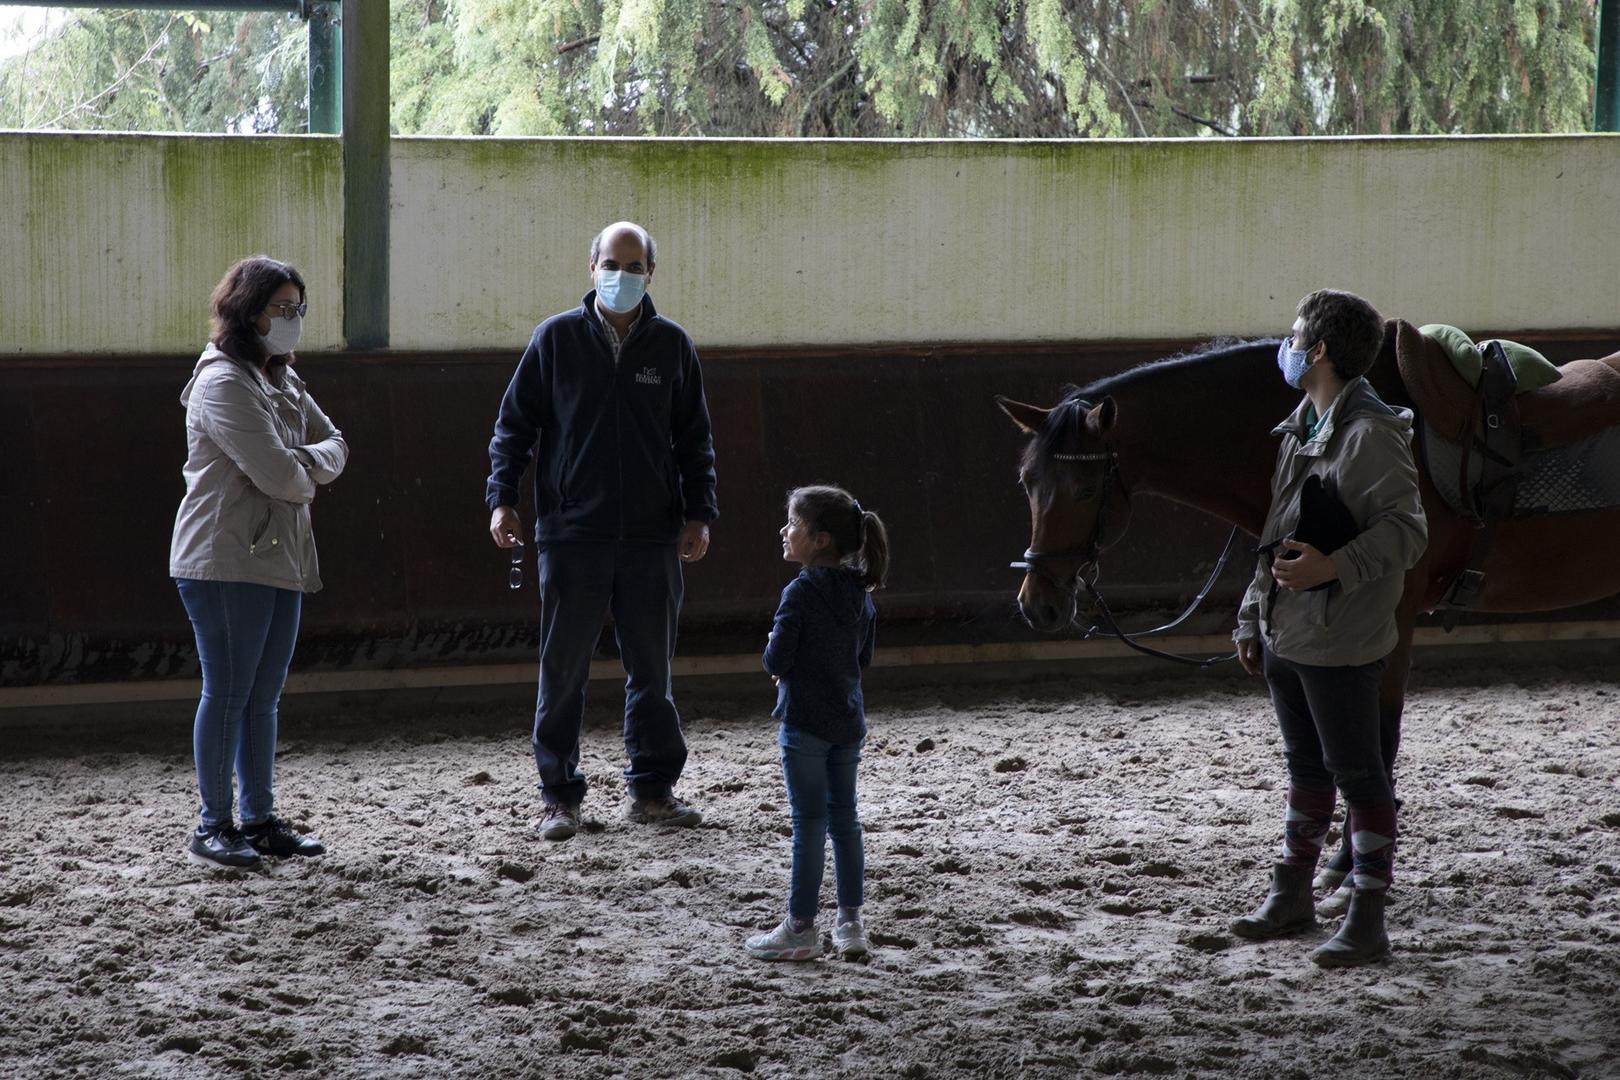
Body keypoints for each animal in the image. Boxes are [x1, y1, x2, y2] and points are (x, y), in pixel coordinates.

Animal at [997, 333, 1620, 867]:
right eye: (1026, 482)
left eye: (1083, 490)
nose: (1037, 604)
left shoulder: (1389, 618)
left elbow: (1375, 737)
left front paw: (1350, 859)